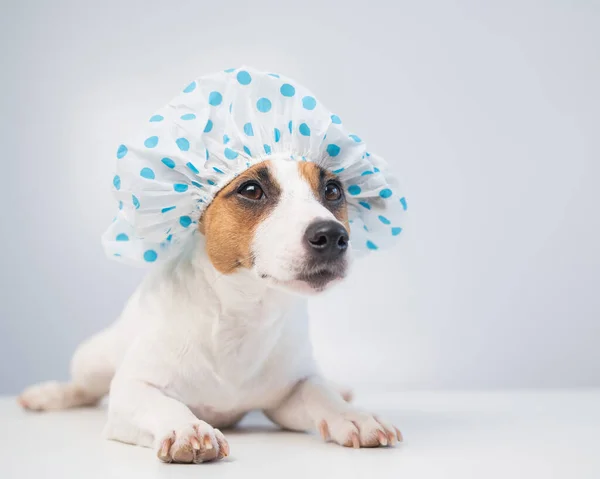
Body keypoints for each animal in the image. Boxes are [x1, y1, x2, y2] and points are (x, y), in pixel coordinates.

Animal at [18, 158, 400, 464]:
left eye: (333, 190)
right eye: (251, 189)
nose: (332, 235)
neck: (242, 314)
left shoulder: (289, 395)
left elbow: (320, 394)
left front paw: (353, 416)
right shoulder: (132, 390)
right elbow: (161, 403)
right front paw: (186, 427)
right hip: (92, 359)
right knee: (83, 386)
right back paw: (48, 394)